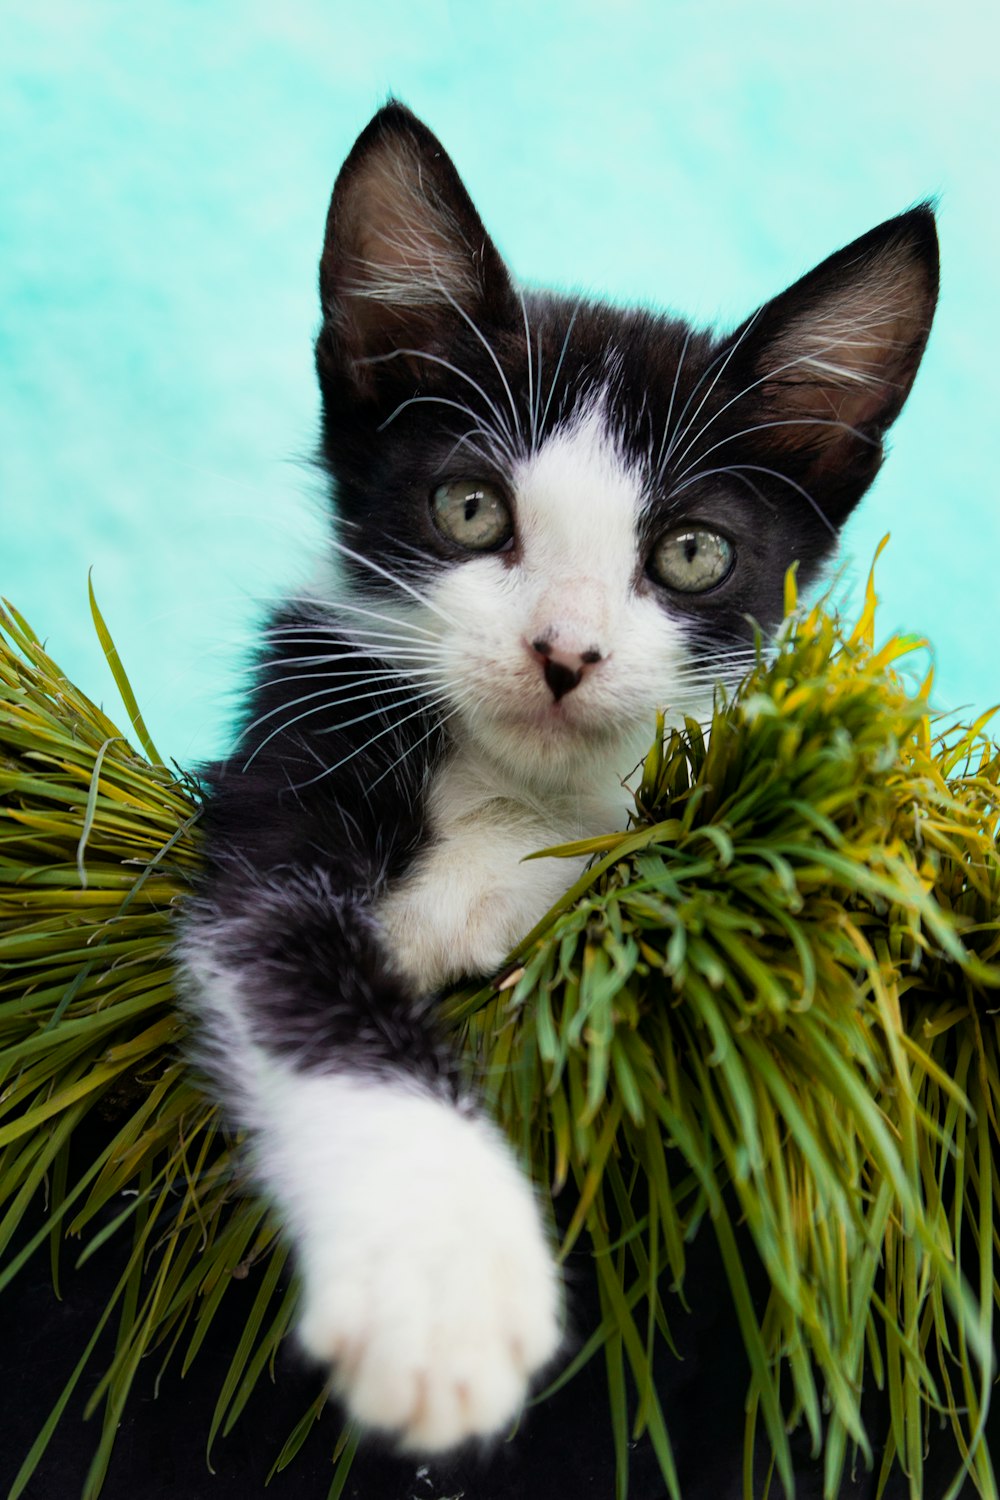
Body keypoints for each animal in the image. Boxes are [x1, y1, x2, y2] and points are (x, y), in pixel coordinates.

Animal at [179, 102, 941, 1452]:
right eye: (470, 509)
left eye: (691, 554)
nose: (564, 653)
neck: (515, 784)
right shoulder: (287, 742)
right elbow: (292, 965)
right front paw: (441, 1272)